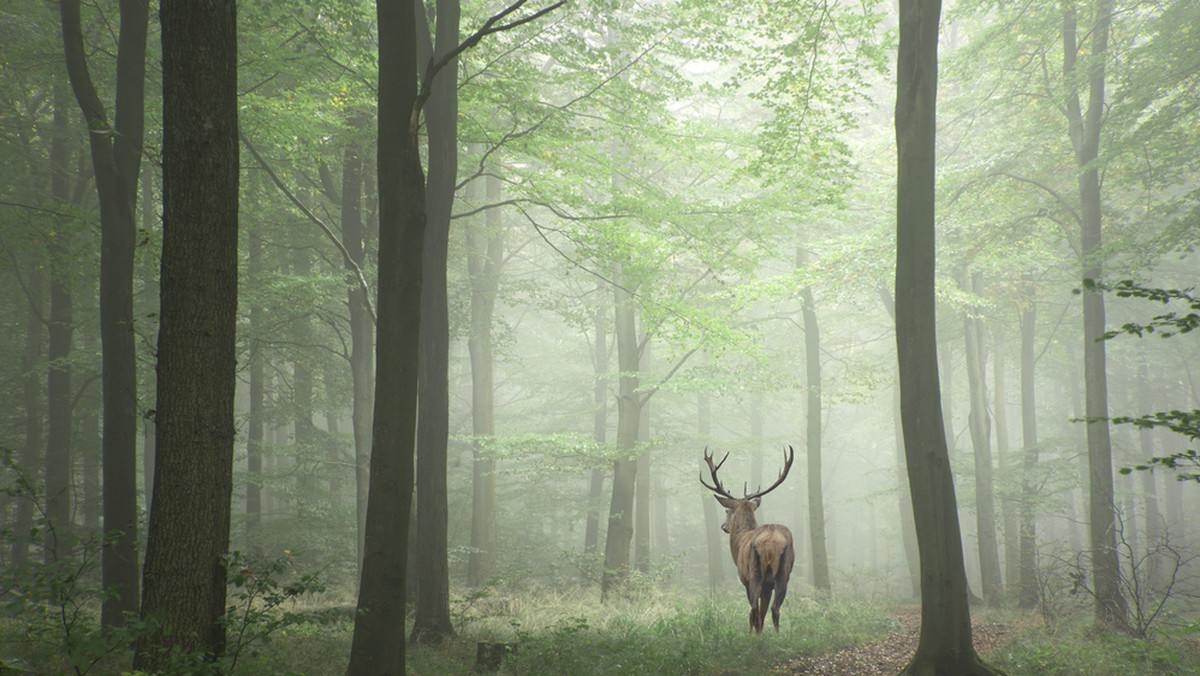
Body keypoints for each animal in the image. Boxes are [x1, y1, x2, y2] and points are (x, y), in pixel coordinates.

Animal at [700, 449, 792, 633]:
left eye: (727, 510)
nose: (723, 526)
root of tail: (770, 544)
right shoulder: (767, 587)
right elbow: (763, 615)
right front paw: (761, 635)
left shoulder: (744, 578)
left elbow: (755, 613)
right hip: (783, 573)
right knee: (775, 609)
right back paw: (778, 636)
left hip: (754, 572)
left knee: (753, 610)